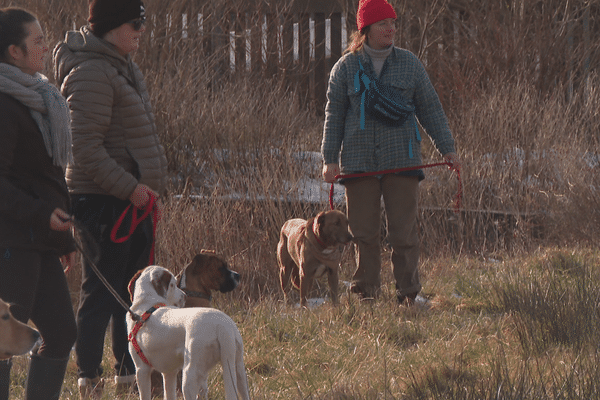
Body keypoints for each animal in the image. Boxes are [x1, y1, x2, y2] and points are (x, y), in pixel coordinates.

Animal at [125, 266, 250, 400]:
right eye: (173, 285)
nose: (185, 296)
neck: (147, 303)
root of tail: (222, 326)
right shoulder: (169, 372)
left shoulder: (142, 370)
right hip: (239, 371)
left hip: (189, 376)